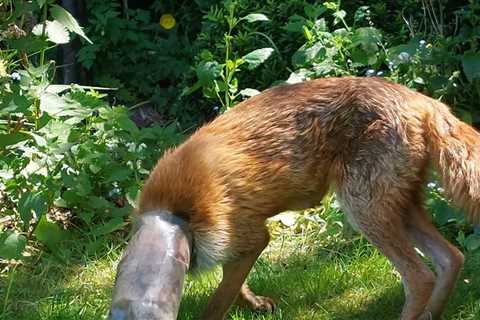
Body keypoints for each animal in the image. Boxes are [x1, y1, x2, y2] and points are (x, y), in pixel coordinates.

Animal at [109, 77, 480, 320]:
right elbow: (234, 285)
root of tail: (426, 101)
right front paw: (256, 304)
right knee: (451, 258)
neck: (173, 212)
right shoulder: (237, 246)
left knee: (420, 277)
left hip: (364, 210)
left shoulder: (250, 236)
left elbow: (218, 301)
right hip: (401, 207)